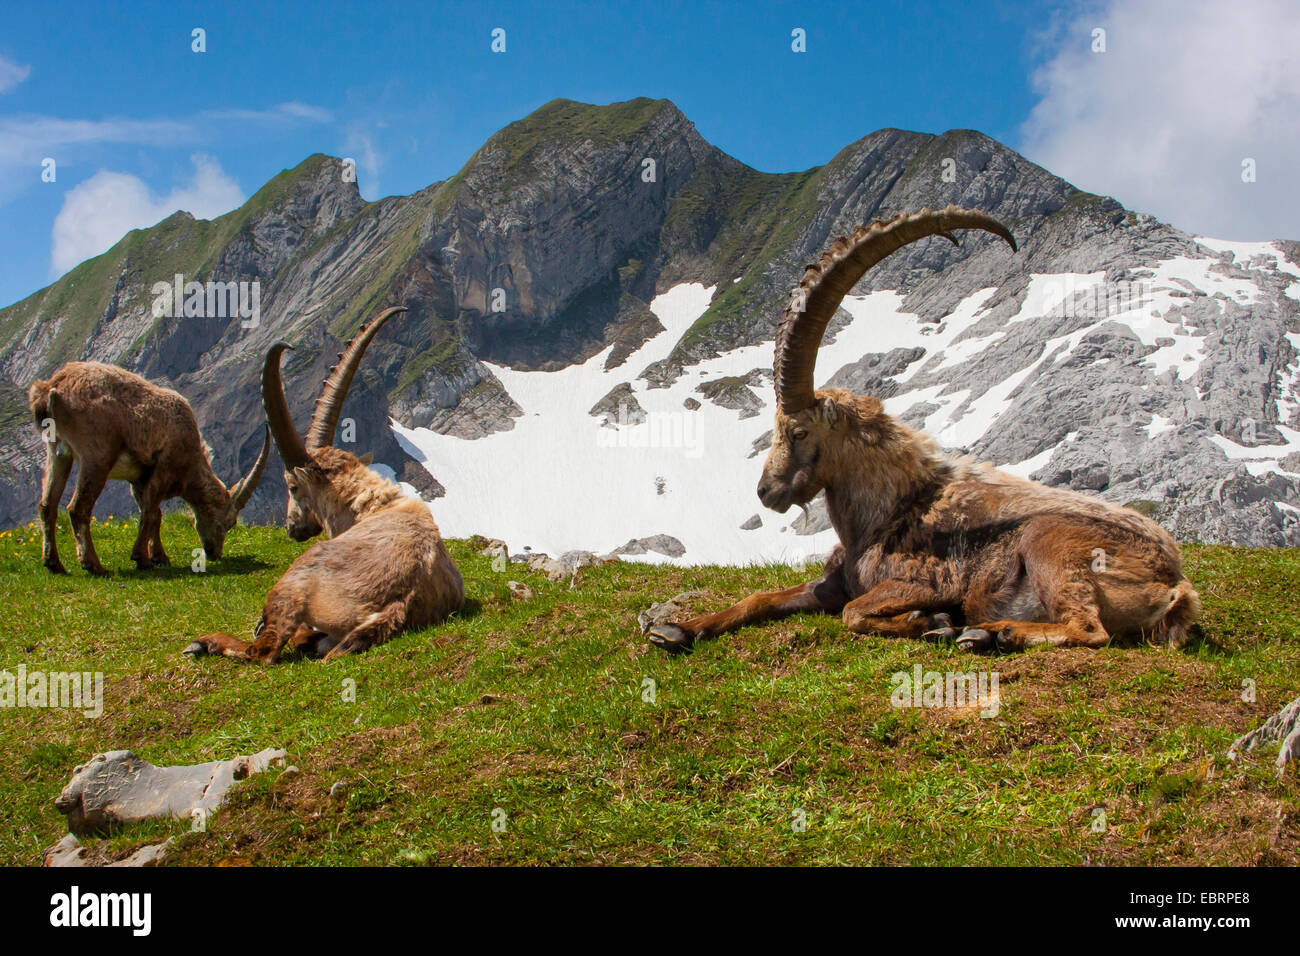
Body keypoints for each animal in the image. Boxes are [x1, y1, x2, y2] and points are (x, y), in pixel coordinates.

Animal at [28, 362, 270, 574]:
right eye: (230, 522)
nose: (215, 554)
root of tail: (54, 388)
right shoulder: (163, 468)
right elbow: (150, 512)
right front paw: (142, 559)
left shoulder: (139, 479)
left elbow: (153, 513)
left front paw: (159, 556)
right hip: (96, 456)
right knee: (77, 508)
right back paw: (93, 565)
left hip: (57, 451)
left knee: (47, 505)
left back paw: (54, 563)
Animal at [184, 306, 465, 663]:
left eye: (292, 486)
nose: (291, 527)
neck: (372, 507)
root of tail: (397, 603)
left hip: (296, 580)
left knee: (265, 650)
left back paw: (205, 642)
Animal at [647, 206, 1200, 655]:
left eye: (799, 431)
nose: (766, 491)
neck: (888, 509)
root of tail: (1175, 585)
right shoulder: (830, 583)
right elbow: (760, 598)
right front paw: (677, 629)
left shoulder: (923, 582)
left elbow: (855, 613)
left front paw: (929, 621)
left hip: (1051, 542)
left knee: (1089, 630)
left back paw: (986, 632)